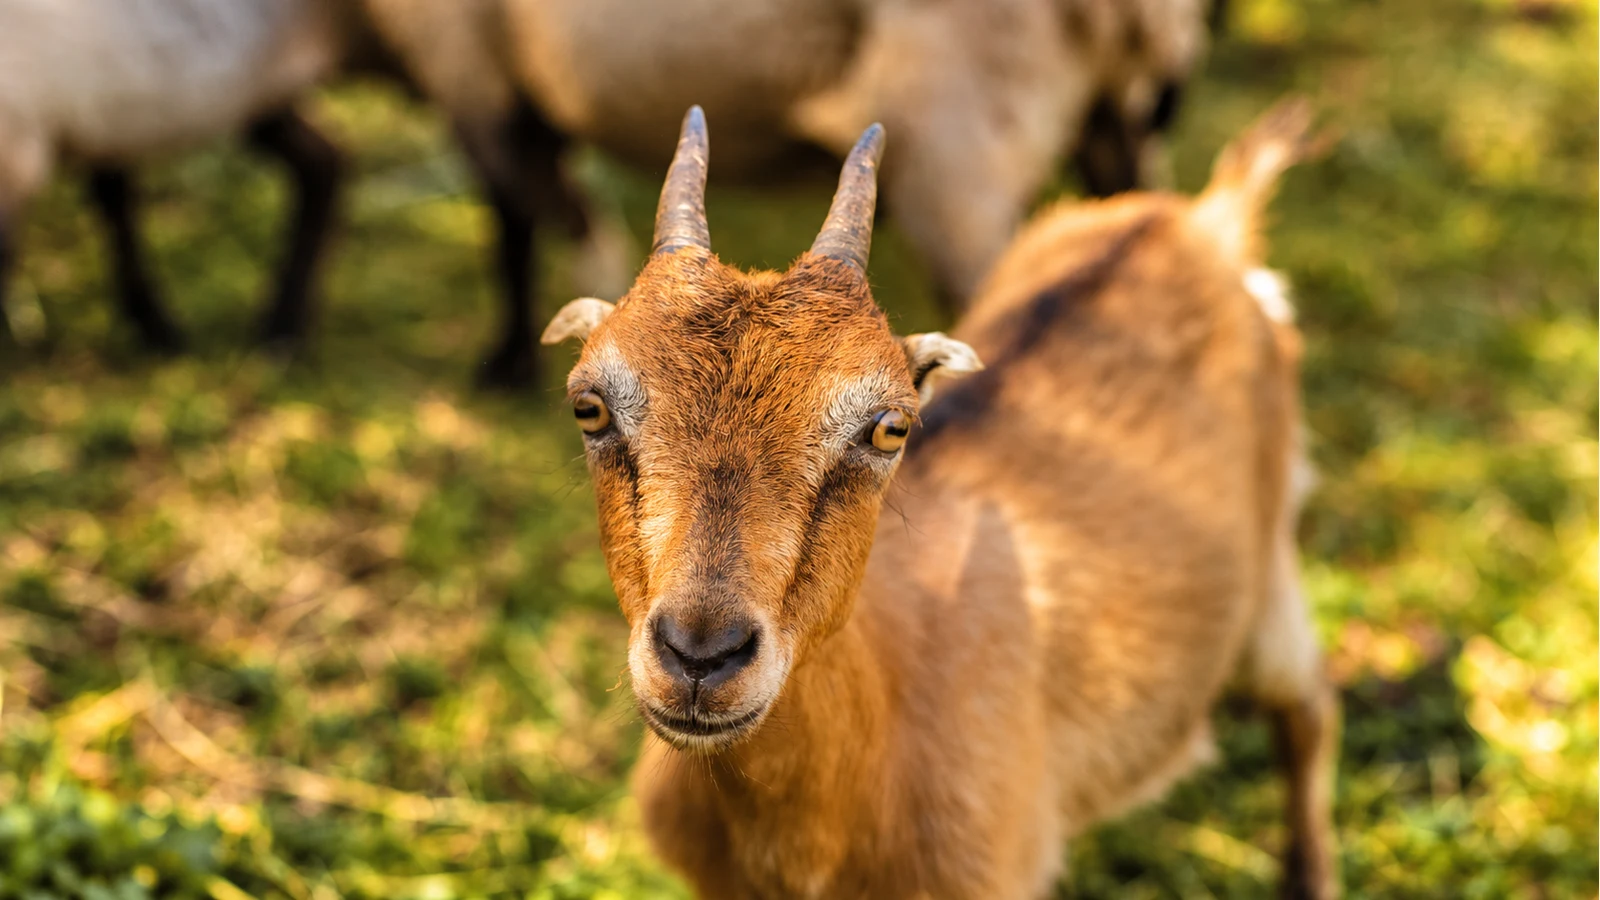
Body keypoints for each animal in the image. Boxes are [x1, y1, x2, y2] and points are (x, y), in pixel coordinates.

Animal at [541, 100, 1338, 898]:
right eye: (589, 406)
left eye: (889, 427)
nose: (700, 657)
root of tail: (1203, 221)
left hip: (1273, 562)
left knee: (1305, 706)